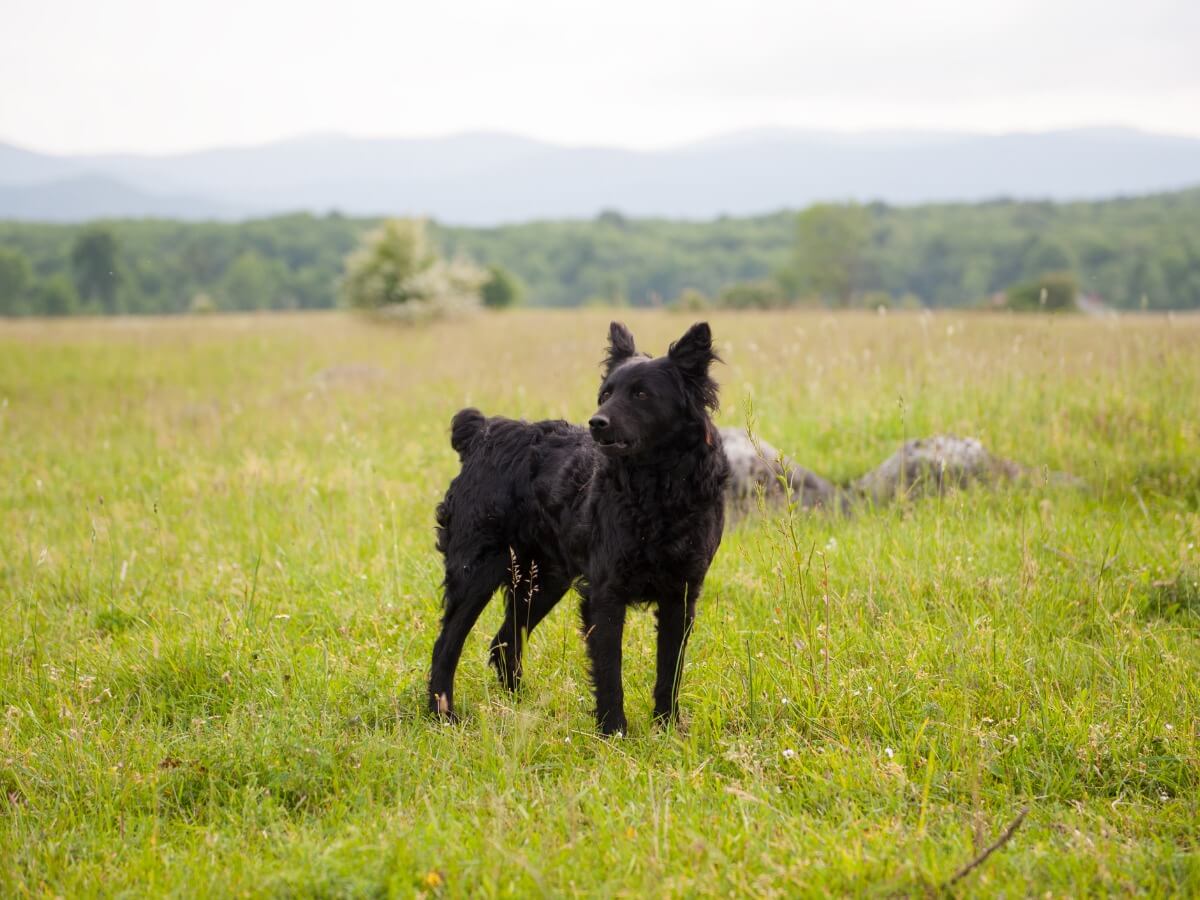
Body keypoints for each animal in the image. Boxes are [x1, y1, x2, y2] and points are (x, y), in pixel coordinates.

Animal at [432, 321, 729, 734]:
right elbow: (609, 669)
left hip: (543, 580)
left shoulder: (681, 593)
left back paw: (520, 707)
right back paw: (442, 715)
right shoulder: (605, 592)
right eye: (605, 394)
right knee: (446, 645)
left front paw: (667, 727)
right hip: (477, 571)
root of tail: (482, 433)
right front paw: (614, 730)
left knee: (503, 643)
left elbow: (670, 669)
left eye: (641, 394)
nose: (596, 423)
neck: (657, 487)